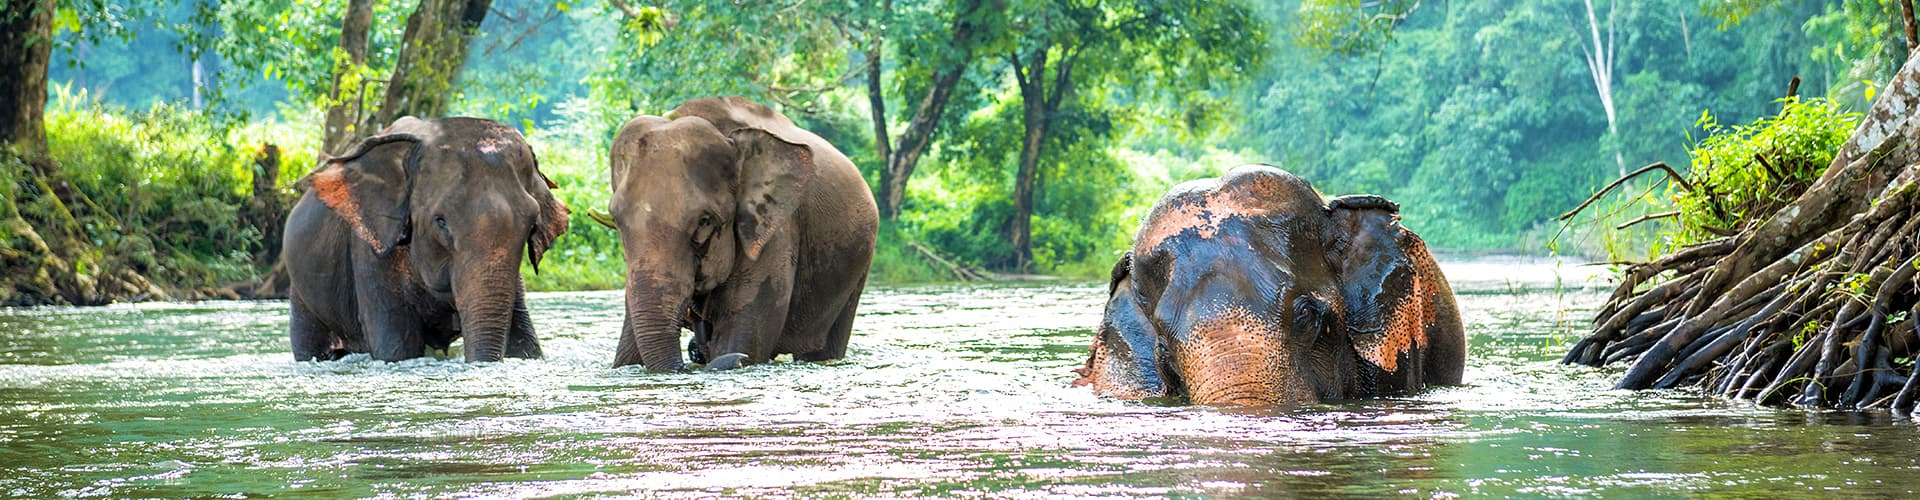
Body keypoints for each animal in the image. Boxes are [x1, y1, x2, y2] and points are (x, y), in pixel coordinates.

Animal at [283, 117, 570, 362]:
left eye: (531, 223)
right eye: (440, 221)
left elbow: (524, 342)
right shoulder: (369, 250)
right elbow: (396, 347)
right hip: (302, 290)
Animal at [606, 96, 877, 371]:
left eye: (704, 221)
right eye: (616, 220)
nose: (693, 353)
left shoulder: (775, 231)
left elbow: (741, 336)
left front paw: (737, 353)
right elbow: (627, 352)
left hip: (855, 272)